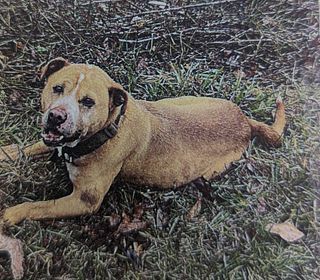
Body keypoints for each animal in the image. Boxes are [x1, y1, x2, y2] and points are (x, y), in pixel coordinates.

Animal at [0, 58, 284, 226]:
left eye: (88, 102)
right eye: (57, 88)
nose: (56, 116)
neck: (107, 129)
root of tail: (246, 121)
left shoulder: (84, 201)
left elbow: (39, 206)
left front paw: (11, 214)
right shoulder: (51, 141)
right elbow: (29, 147)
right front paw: (7, 151)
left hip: (211, 171)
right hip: (175, 101)